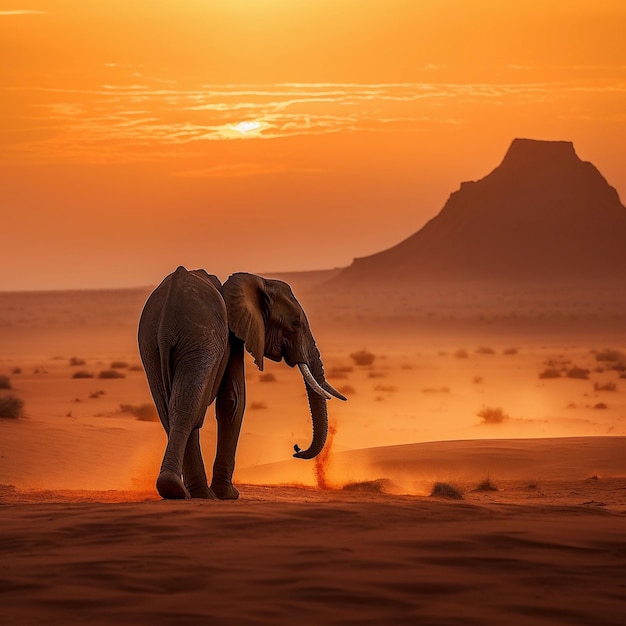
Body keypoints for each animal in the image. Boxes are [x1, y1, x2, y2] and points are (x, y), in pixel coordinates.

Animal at [138, 266, 346, 500]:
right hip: (200, 341)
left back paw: (182, 491)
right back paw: (194, 493)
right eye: (295, 323)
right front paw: (229, 495)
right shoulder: (233, 336)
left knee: (171, 409)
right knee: (188, 408)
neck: (258, 281)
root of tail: (167, 317)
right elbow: (233, 400)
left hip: (152, 345)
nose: (296, 448)